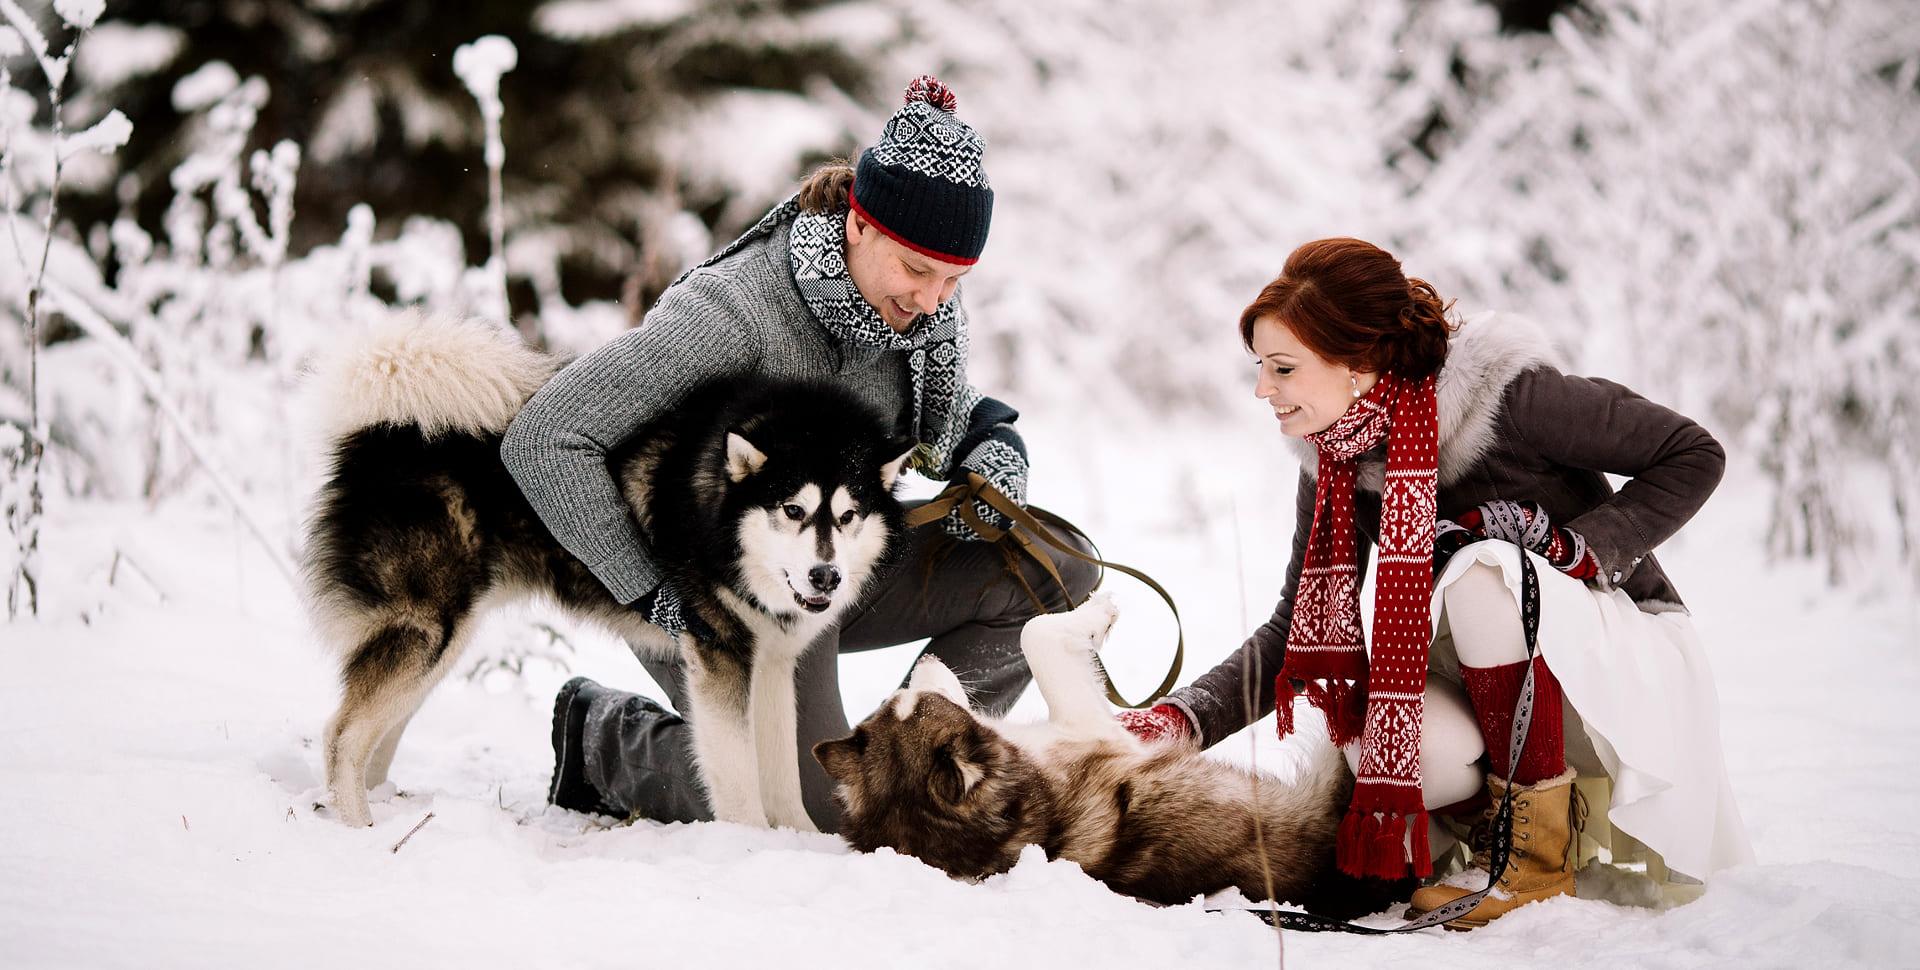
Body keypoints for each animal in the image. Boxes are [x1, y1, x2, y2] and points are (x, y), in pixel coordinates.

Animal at [301, 313, 913, 829]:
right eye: (793, 510)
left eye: (849, 516)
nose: (825, 577)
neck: (715, 512)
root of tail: (378, 432)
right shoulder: (718, 655)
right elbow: (739, 775)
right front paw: (753, 845)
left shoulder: (771, 663)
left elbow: (785, 773)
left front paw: (799, 841)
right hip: (428, 627)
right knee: (340, 734)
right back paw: (359, 829)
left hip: (443, 640)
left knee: (379, 730)